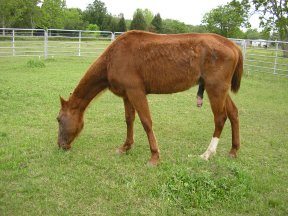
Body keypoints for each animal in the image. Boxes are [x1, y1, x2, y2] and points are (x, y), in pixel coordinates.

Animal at [56, 30, 243, 165]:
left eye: (58, 119)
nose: (61, 145)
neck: (112, 58)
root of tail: (233, 45)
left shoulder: (136, 92)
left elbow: (146, 122)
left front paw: (154, 156)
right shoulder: (127, 95)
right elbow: (129, 120)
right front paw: (125, 147)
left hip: (215, 89)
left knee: (220, 118)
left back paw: (207, 153)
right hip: (220, 90)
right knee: (233, 113)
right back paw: (233, 150)